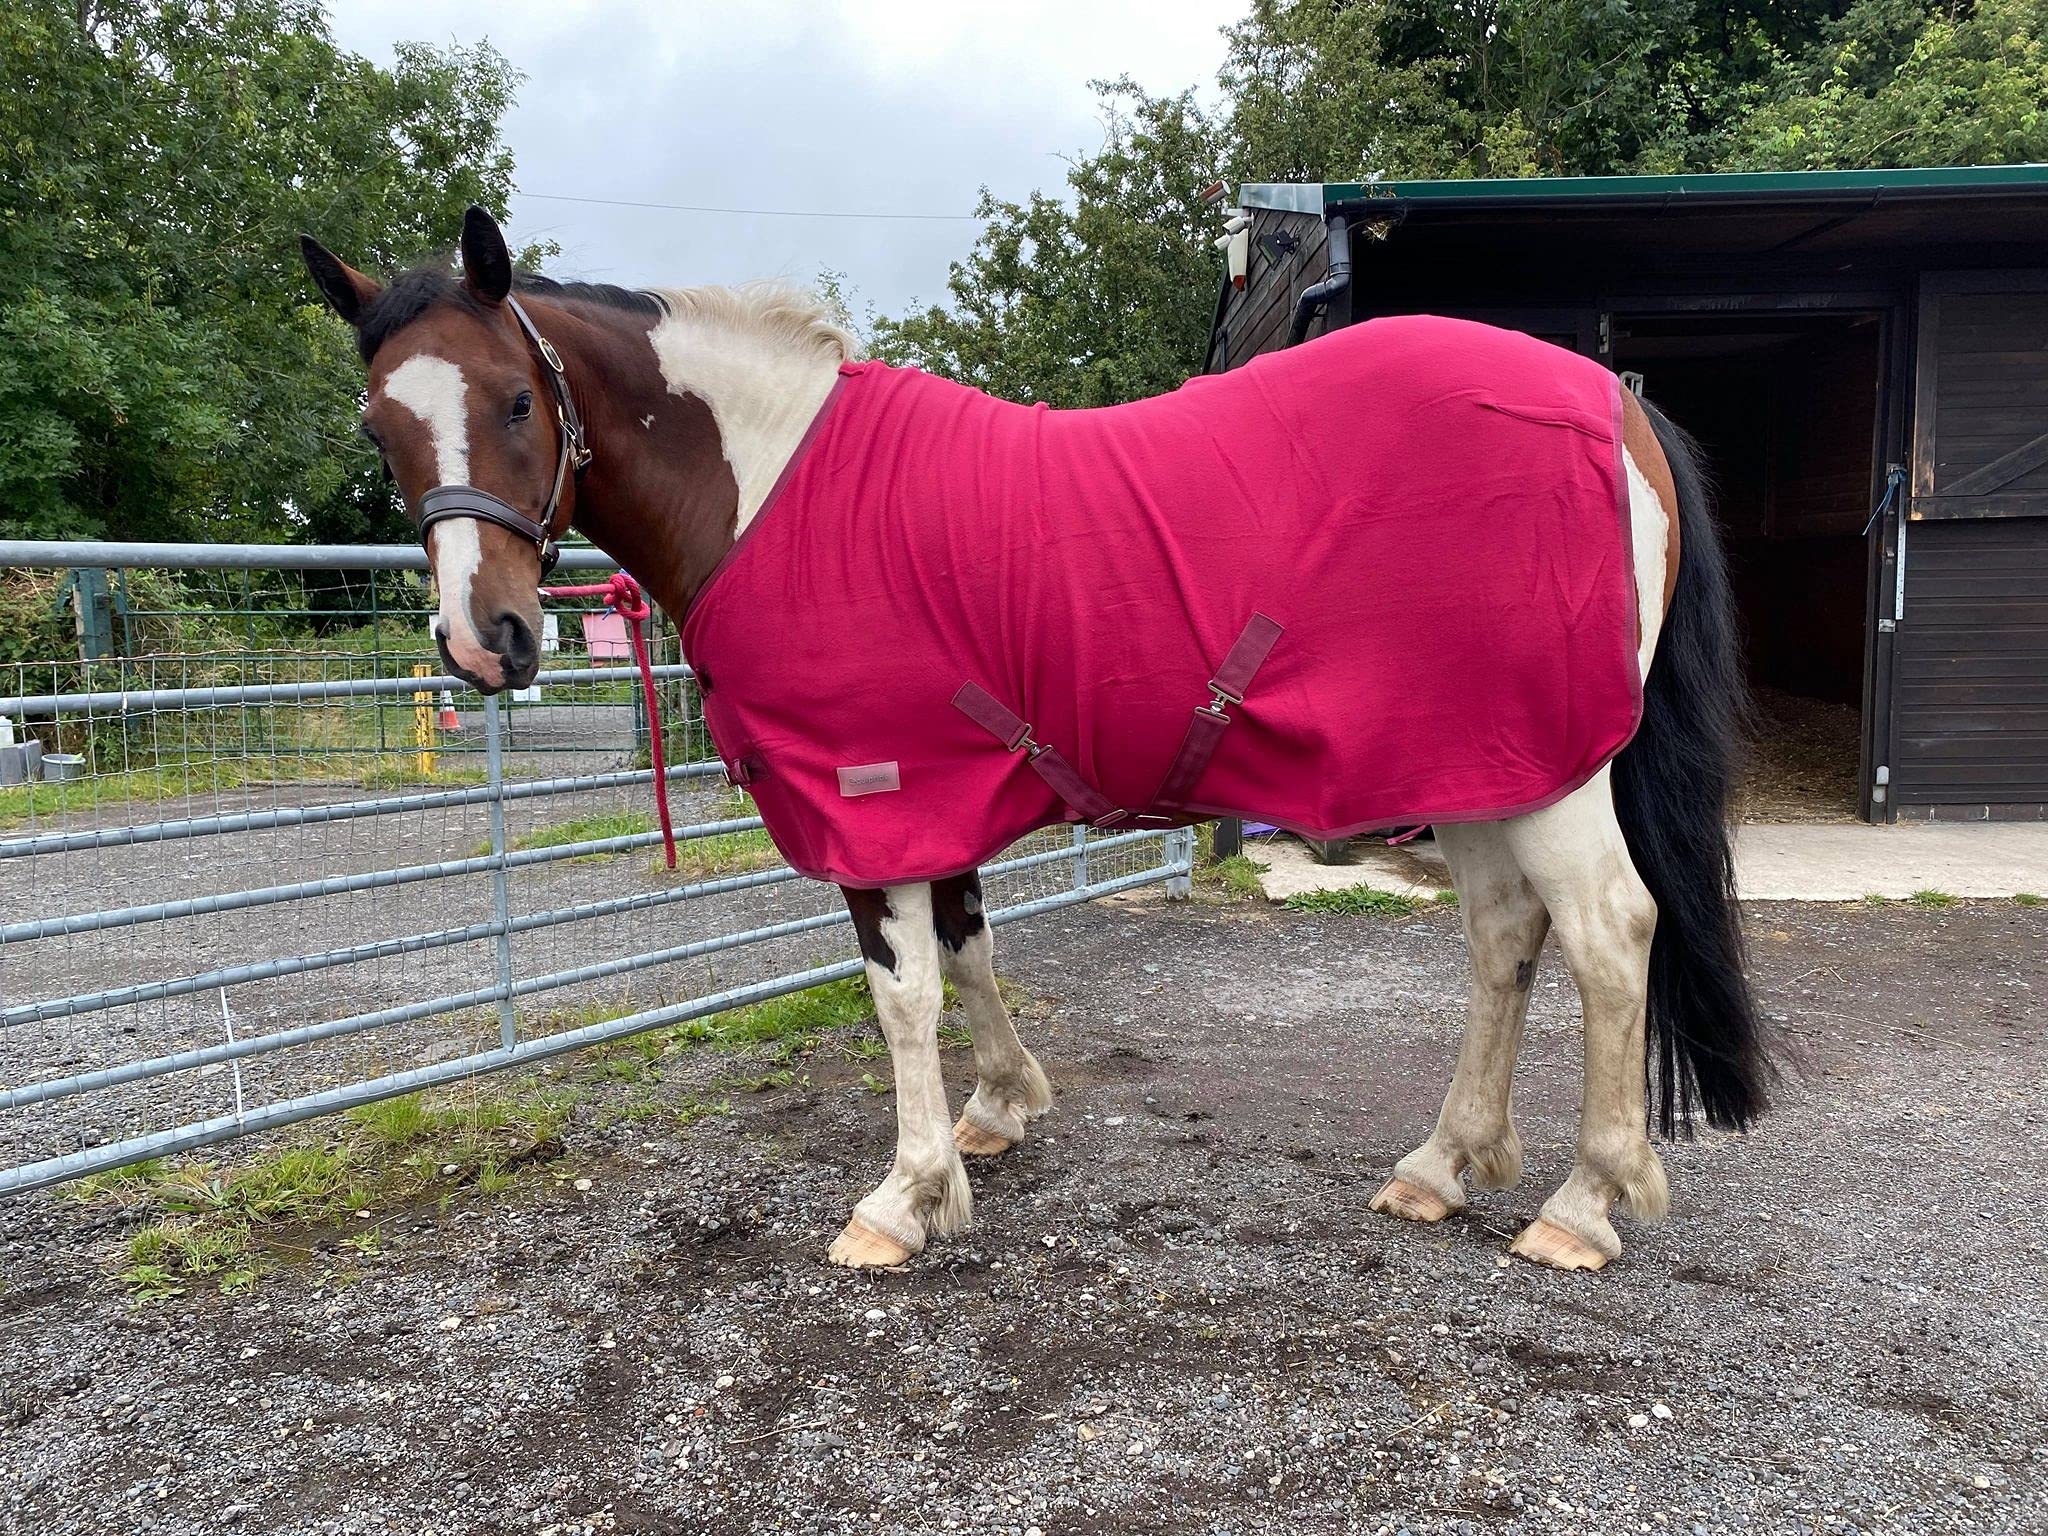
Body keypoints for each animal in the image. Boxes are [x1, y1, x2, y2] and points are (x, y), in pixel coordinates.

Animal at [300, 206, 1773, 1274]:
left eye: (514, 401)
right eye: (380, 422)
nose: (485, 640)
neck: (769, 486)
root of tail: (1609, 402)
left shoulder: (872, 793)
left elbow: (901, 993)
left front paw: (903, 1198)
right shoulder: (933, 797)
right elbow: (970, 947)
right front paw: (999, 1115)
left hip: (1554, 774)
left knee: (1609, 936)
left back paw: (1581, 1204)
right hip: (1481, 764)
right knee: (1502, 940)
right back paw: (1439, 1166)